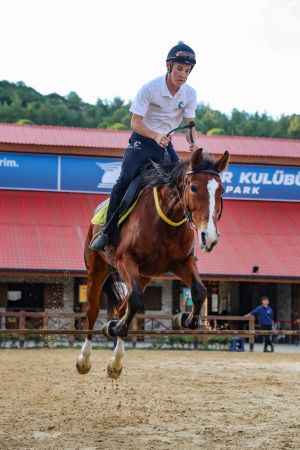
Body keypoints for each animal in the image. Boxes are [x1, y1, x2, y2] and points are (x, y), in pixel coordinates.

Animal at [76, 149, 229, 378]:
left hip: (144, 275)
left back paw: (115, 362)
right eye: (193, 187)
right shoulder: (125, 259)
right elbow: (136, 300)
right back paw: (85, 358)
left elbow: (199, 291)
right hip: (98, 268)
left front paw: (186, 319)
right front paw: (116, 328)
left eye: (221, 190)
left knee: (123, 306)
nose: (208, 237)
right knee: (94, 310)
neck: (165, 219)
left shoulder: (182, 263)